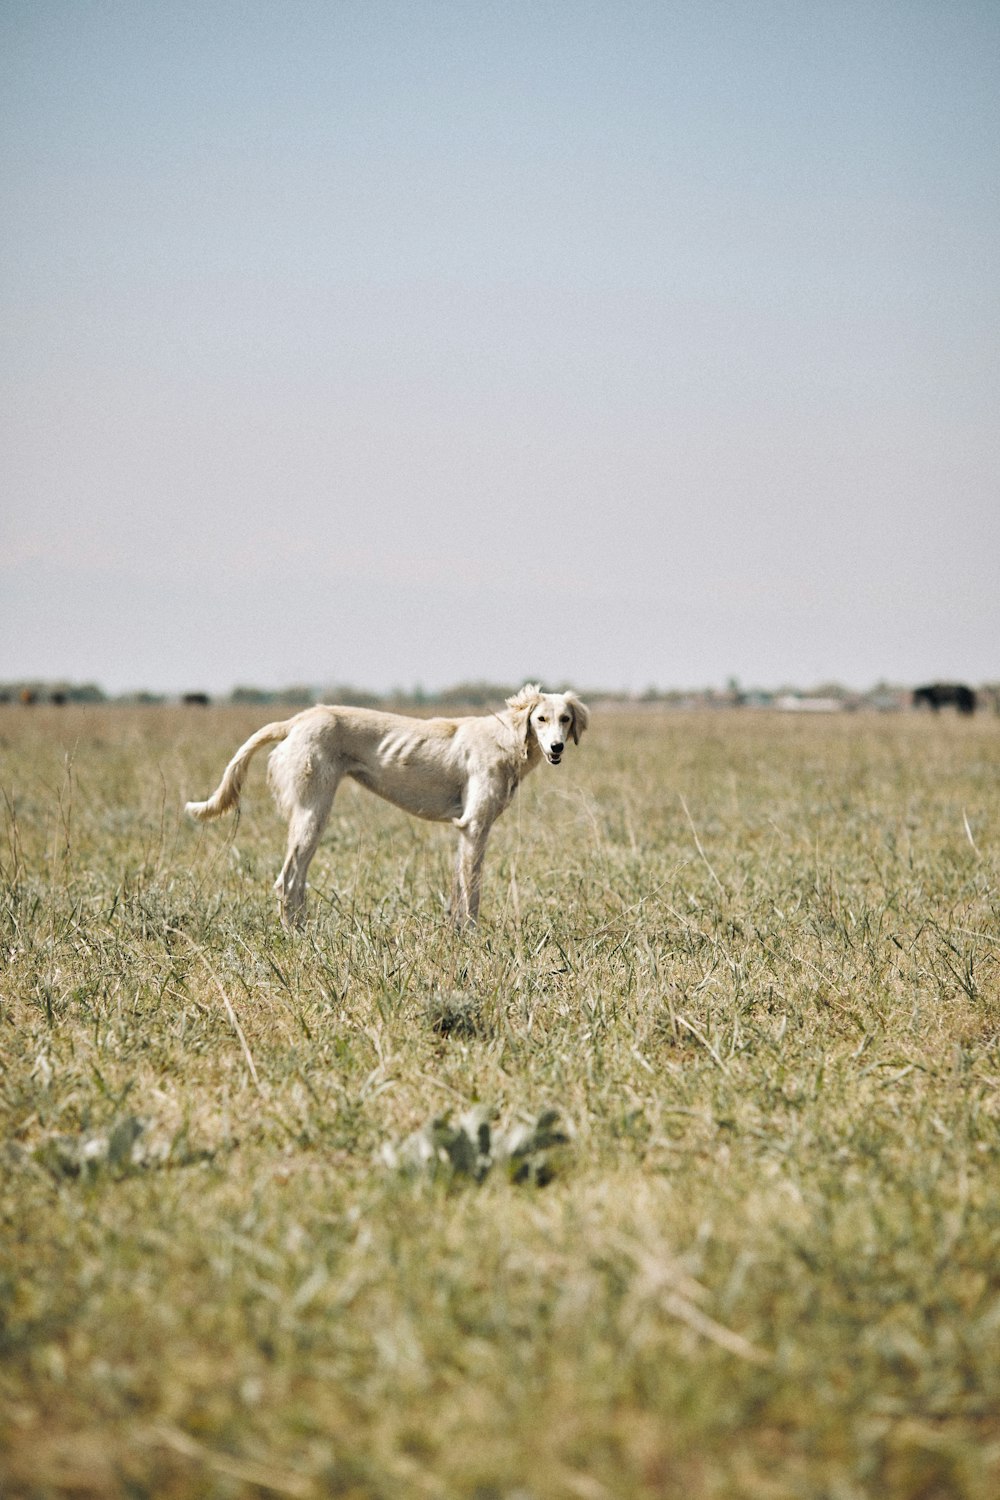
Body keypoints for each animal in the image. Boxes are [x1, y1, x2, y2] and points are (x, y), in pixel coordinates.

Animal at [187, 684, 587, 924]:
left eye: (565, 719)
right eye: (540, 718)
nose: (557, 747)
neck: (508, 740)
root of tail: (297, 719)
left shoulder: (466, 829)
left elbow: (459, 891)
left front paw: (456, 935)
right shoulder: (475, 826)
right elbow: (472, 892)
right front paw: (474, 938)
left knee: (295, 883)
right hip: (313, 812)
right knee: (287, 882)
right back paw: (295, 937)